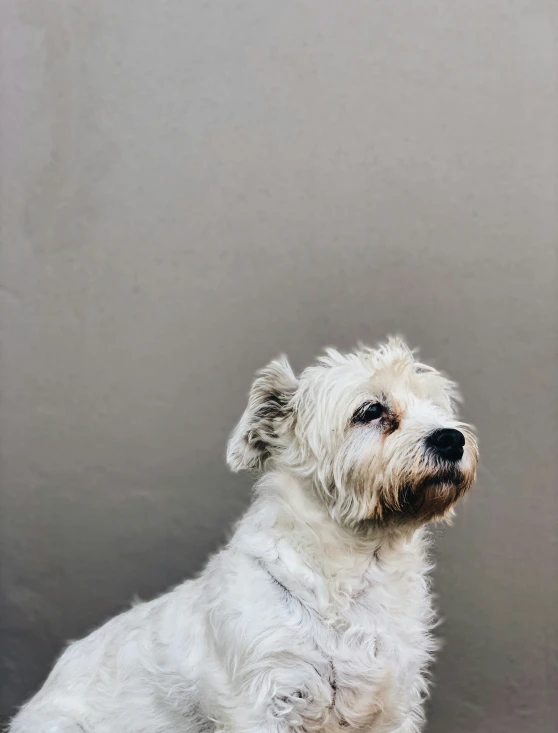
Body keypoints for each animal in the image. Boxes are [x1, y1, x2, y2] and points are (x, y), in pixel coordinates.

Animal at [7, 338, 482, 732]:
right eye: (371, 411)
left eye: (438, 408)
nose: (451, 438)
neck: (353, 574)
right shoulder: (265, 700)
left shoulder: (392, 705)